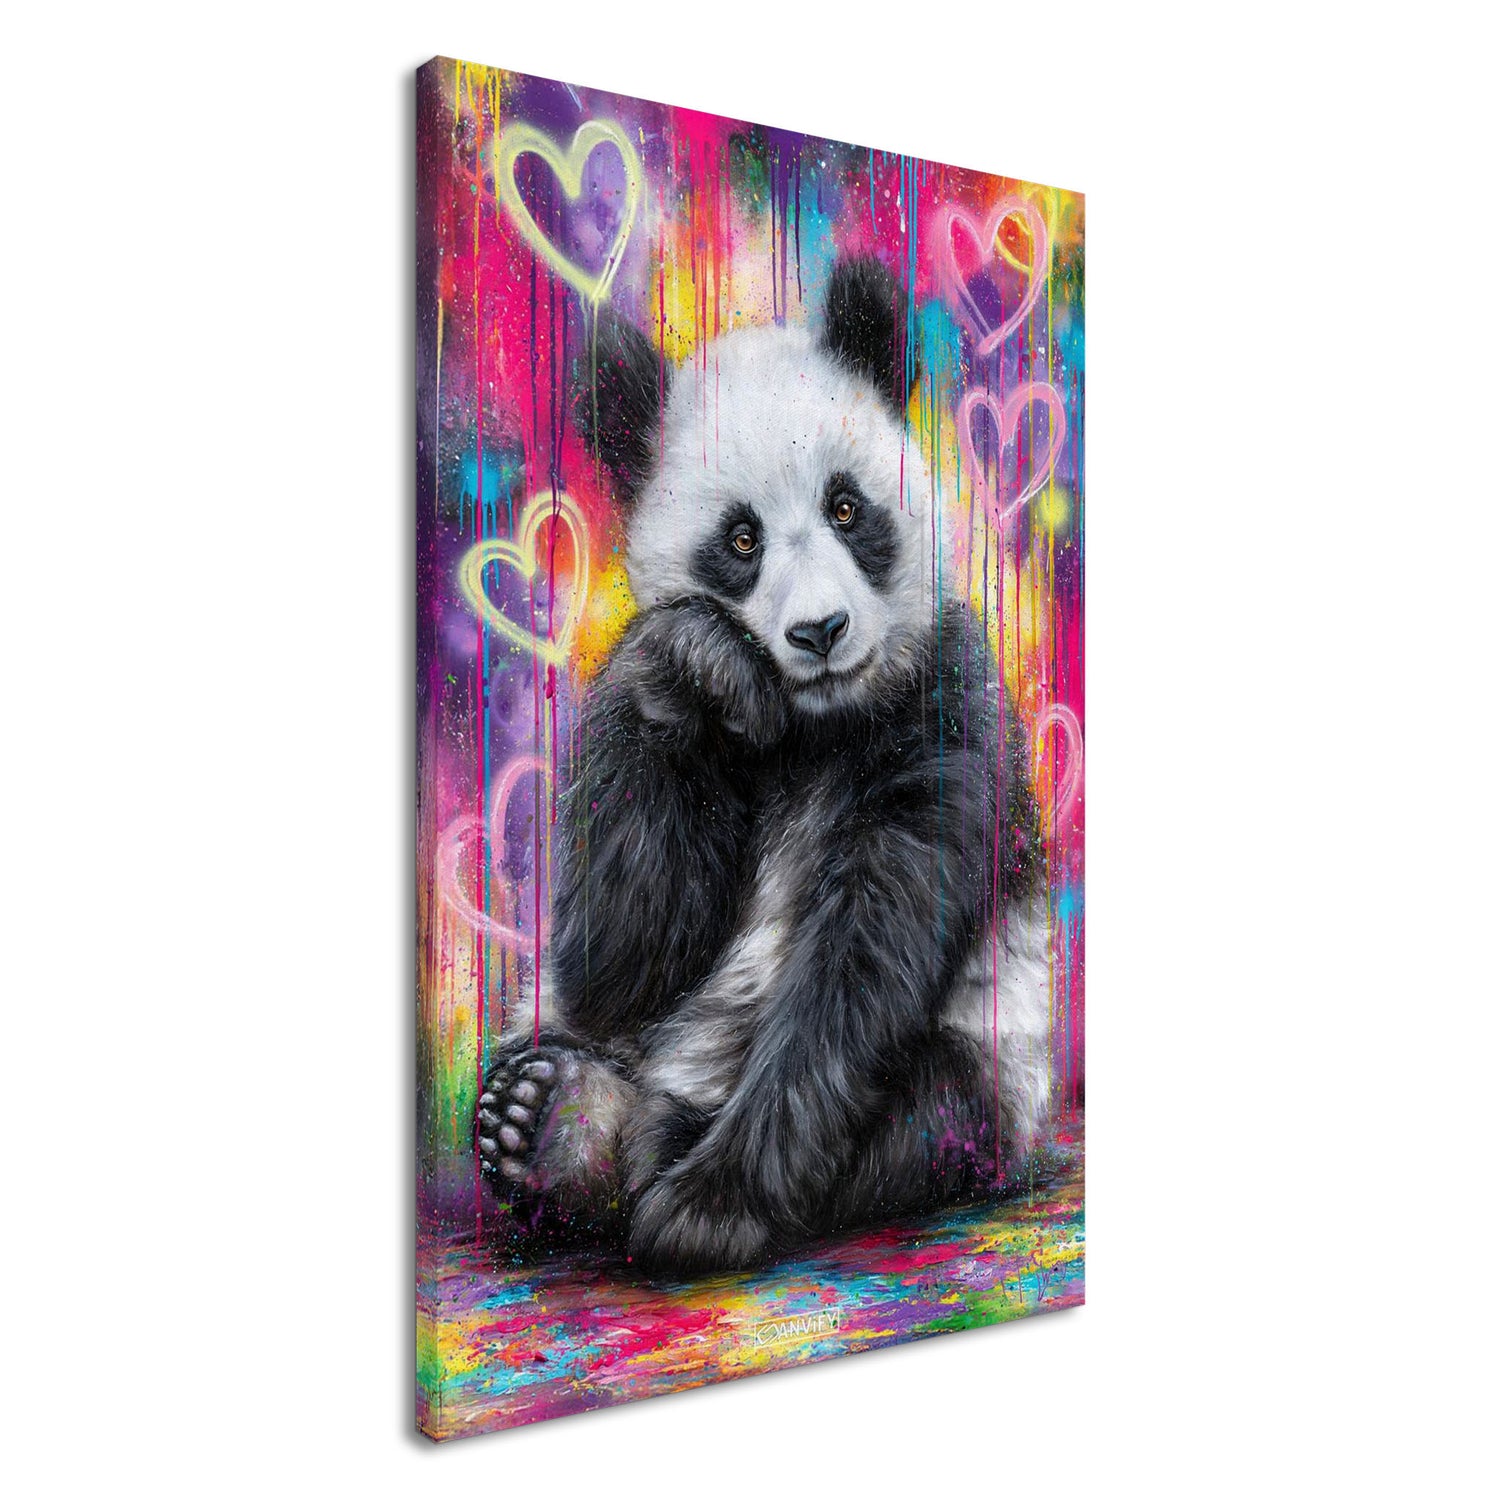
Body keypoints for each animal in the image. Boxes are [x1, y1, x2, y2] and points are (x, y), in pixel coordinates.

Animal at [474, 258, 1054, 1274]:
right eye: (740, 540)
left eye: (846, 507)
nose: (820, 631)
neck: (812, 730)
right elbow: (624, 951)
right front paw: (702, 662)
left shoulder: (948, 712)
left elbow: (861, 958)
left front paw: (708, 1210)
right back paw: (549, 1120)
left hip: (997, 1065)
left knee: (929, 1105)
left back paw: (620, 1139)